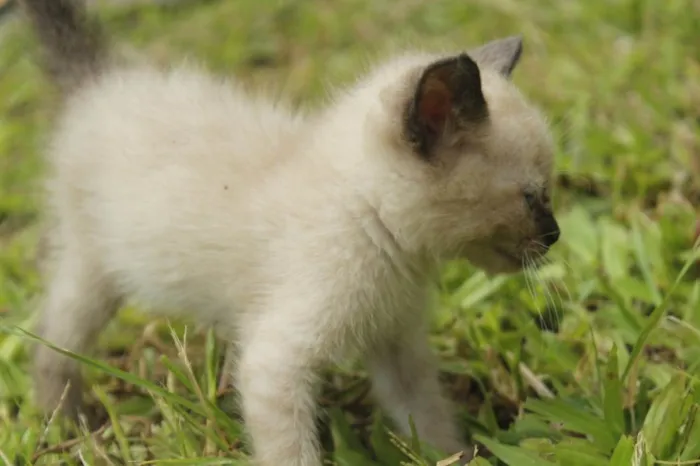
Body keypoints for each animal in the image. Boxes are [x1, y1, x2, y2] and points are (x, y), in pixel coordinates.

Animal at [19, 1, 560, 464]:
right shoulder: (275, 362)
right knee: (52, 343)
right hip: (92, 266)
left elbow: (427, 417)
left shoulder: (396, 340)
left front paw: (458, 457)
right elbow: (290, 451)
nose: (554, 236)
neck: (379, 230)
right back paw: (64, 424)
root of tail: (104, 78)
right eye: (532, 197)